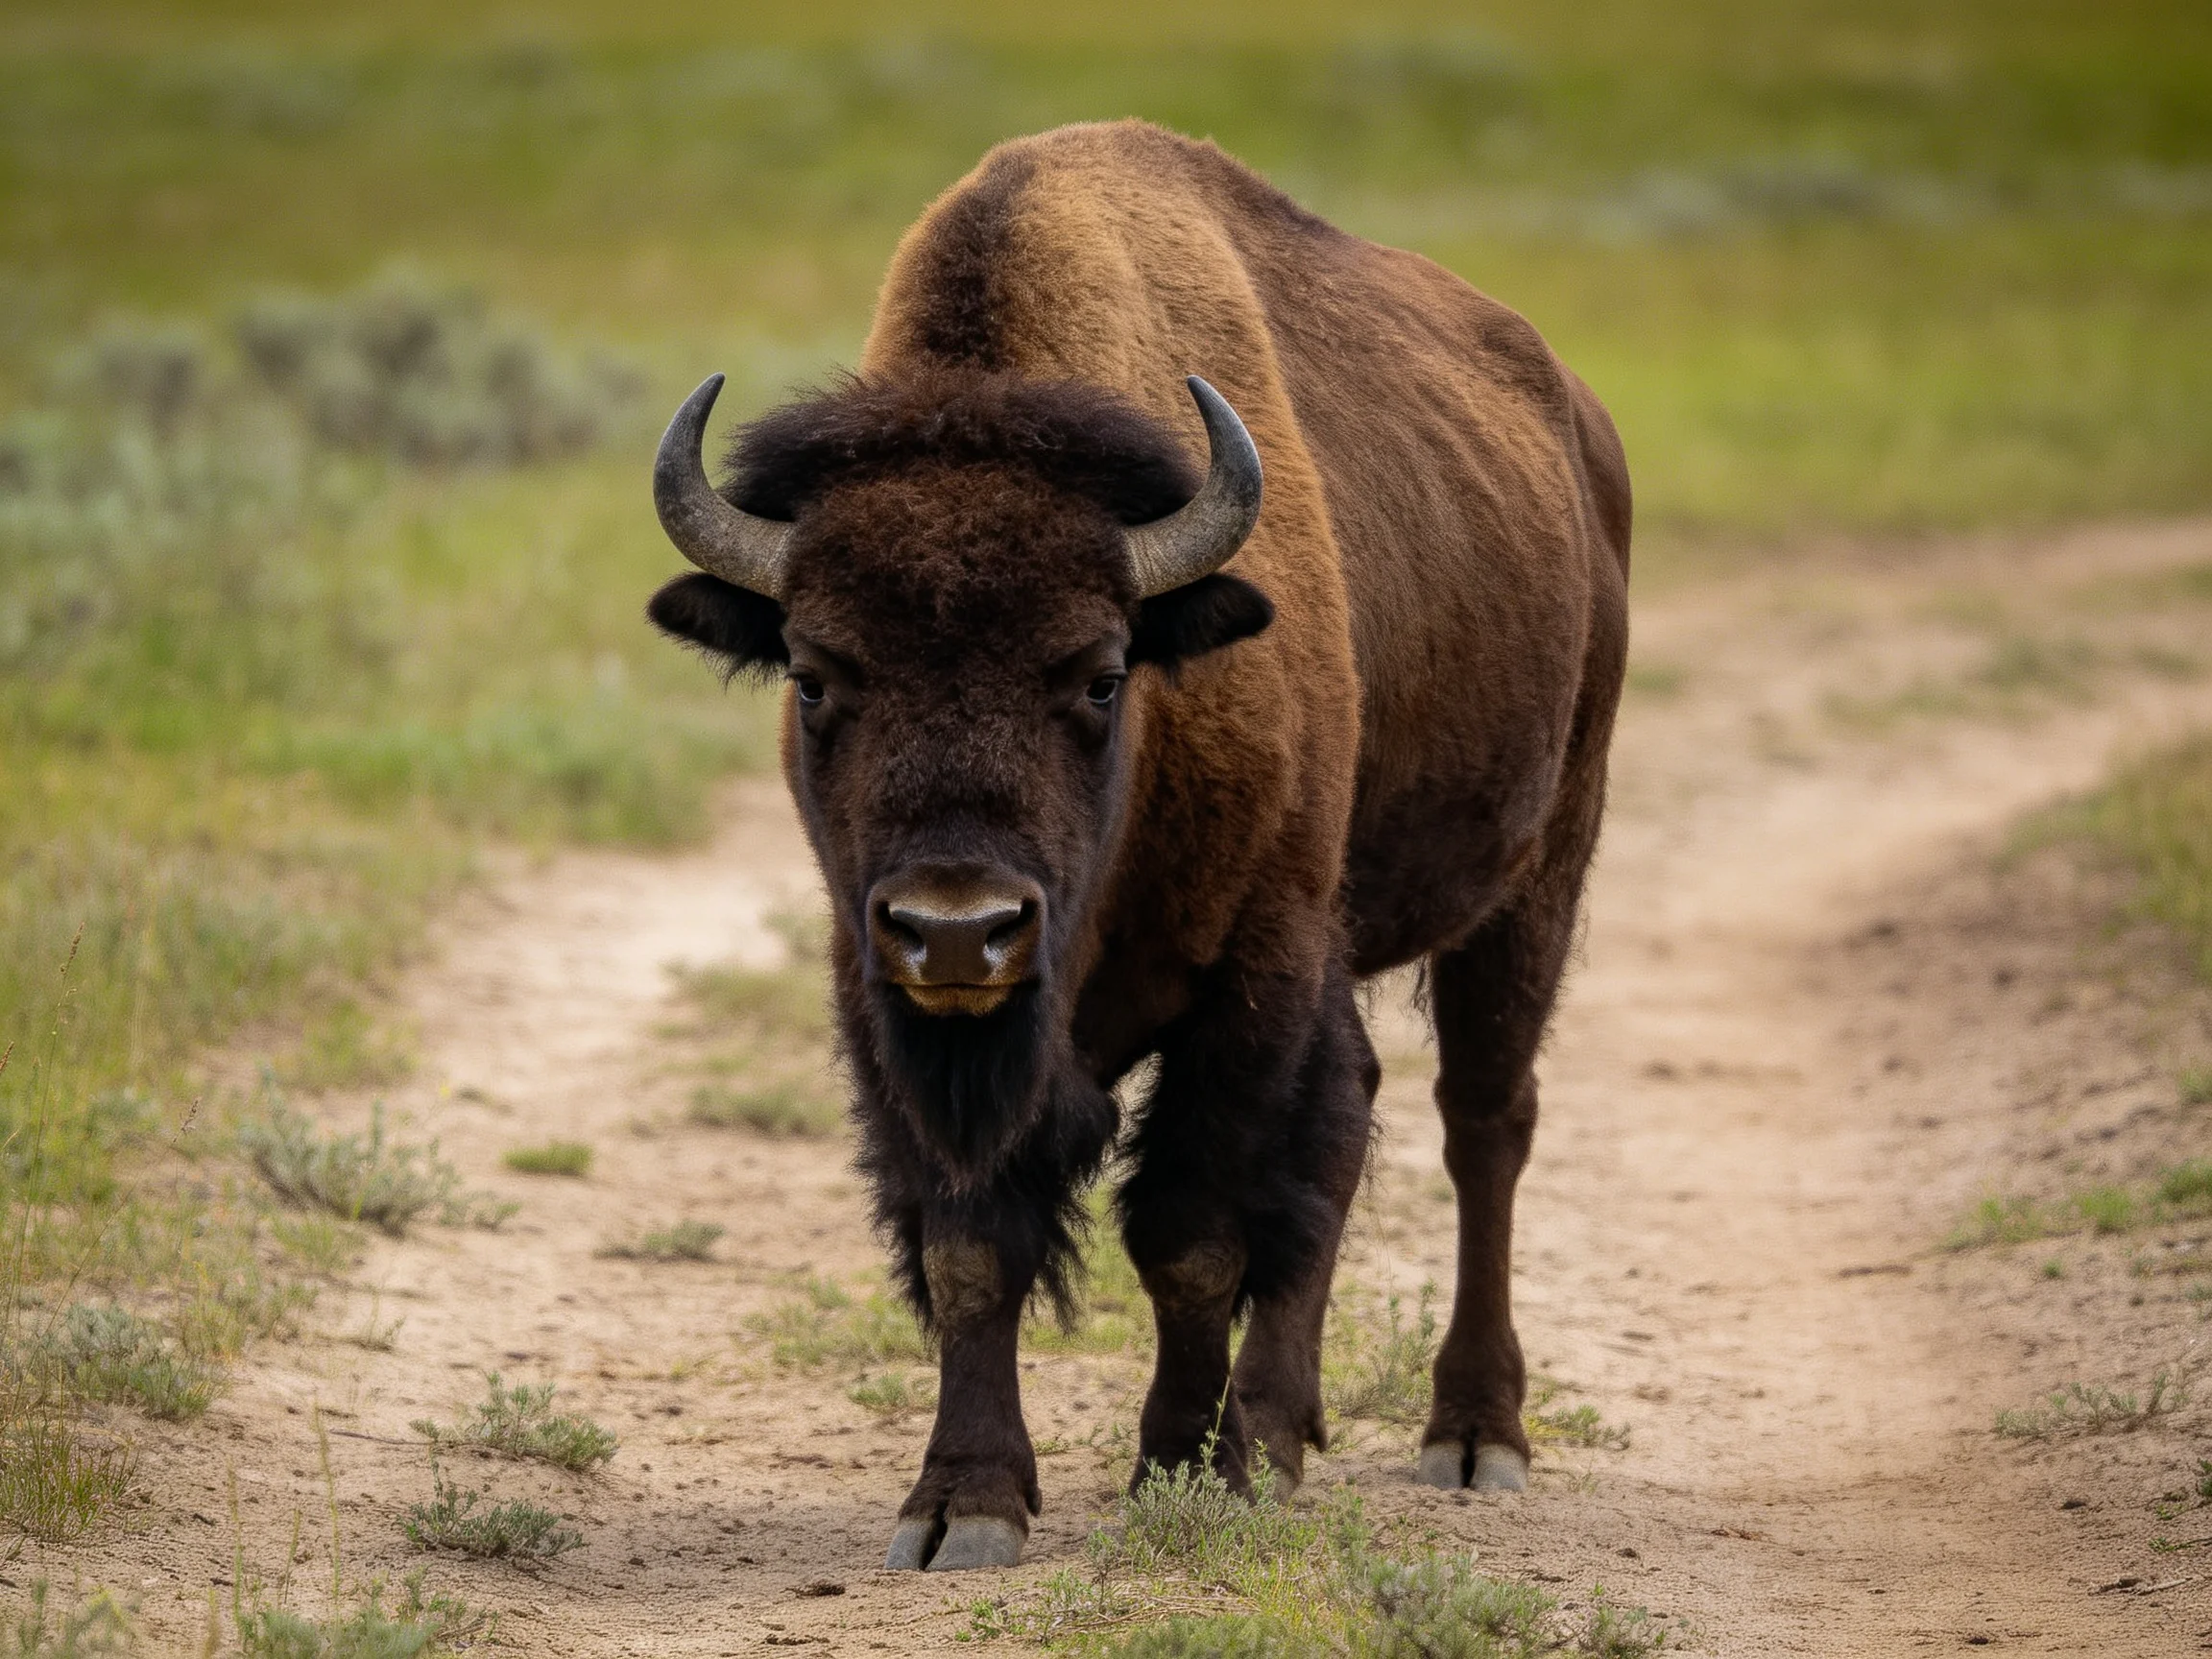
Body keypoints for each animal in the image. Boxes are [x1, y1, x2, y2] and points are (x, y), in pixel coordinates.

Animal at [647, 119, 1629, 1571]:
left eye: (1102, 674)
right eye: (816, 678)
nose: (958, 929)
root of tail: (1579, 425)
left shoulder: (1252, 973)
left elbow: (1192, 1234)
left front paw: (1188, 1472)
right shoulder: (883, 998)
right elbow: (972, 1248)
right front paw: (966, 1505)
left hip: (1537, 873)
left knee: (1482, 1125)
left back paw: (1468, 1436)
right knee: (1353, 1124)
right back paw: (1283, 1428)